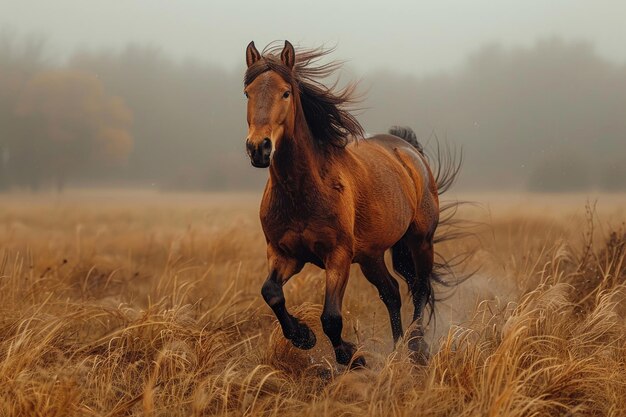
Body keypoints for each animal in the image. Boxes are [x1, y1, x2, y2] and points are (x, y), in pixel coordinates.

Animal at [241, 40, 456, 366]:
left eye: (285, 92)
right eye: (247, 93)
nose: (259, 148)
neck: (301, 191)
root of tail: (409, 150)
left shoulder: (338, 256)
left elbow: (331, 317)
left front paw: (351, 356)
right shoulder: (284, 254)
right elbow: (271, 293)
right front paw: (303, 336)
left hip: (420, 240)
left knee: (419, 287)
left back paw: (417, 347)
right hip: (371, 255)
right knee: (392, 292)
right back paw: (397, 348)